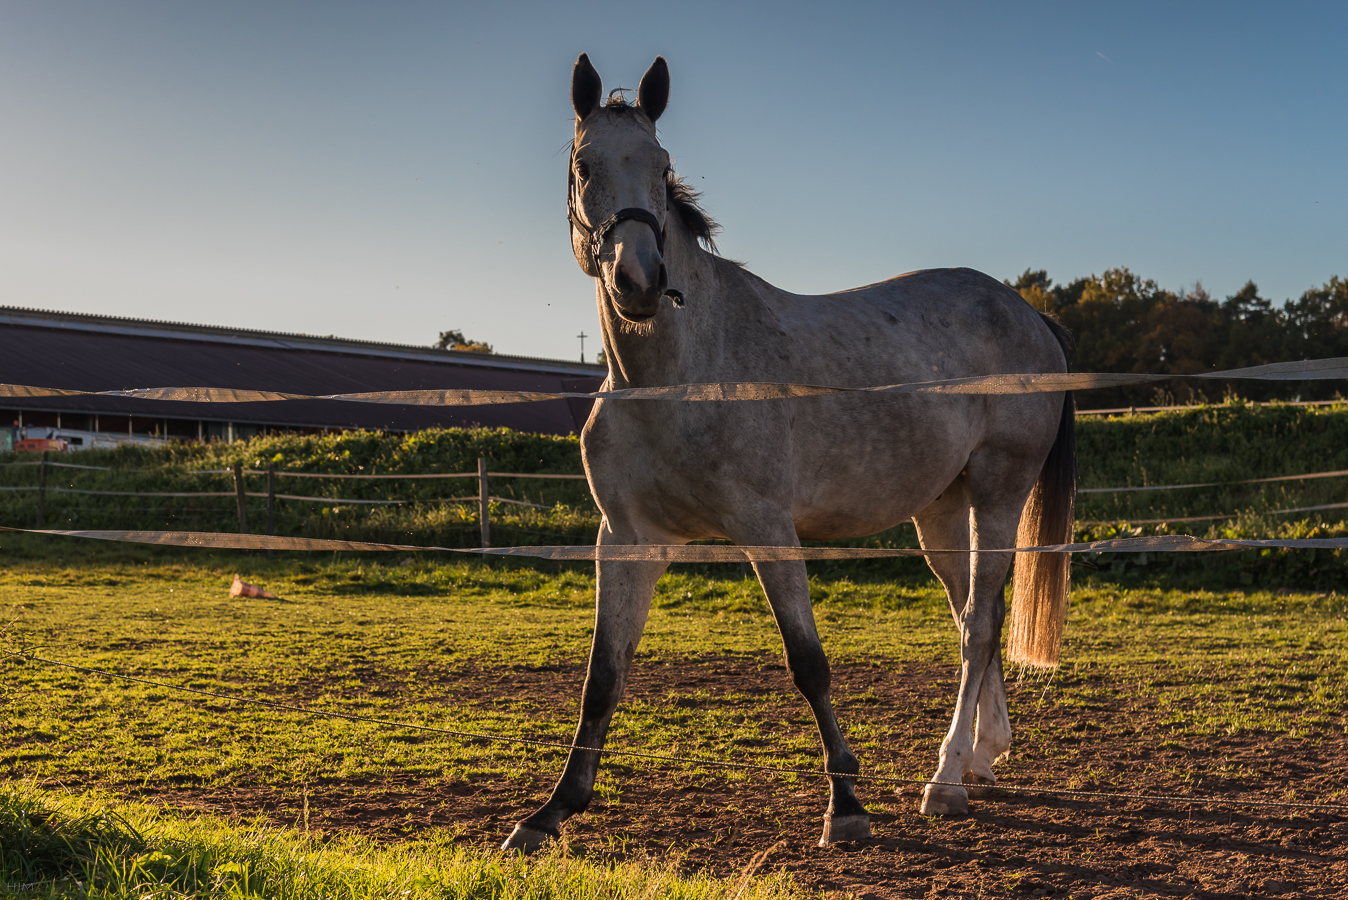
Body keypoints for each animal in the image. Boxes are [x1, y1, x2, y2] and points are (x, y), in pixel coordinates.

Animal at [501, 54, 1078, 851]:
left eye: (662, 165)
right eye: (585, 166)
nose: (640, 281)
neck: (678, 377)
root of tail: (1029, 314)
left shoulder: (769, 531)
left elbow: (808, 664)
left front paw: (847, 805)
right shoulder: (627, 541)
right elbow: (602, 676)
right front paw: (551, 811)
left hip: (997, 493)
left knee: (982, 624)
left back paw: (946, 781)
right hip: (941, 511)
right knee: (974, 616)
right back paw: (980, 757)